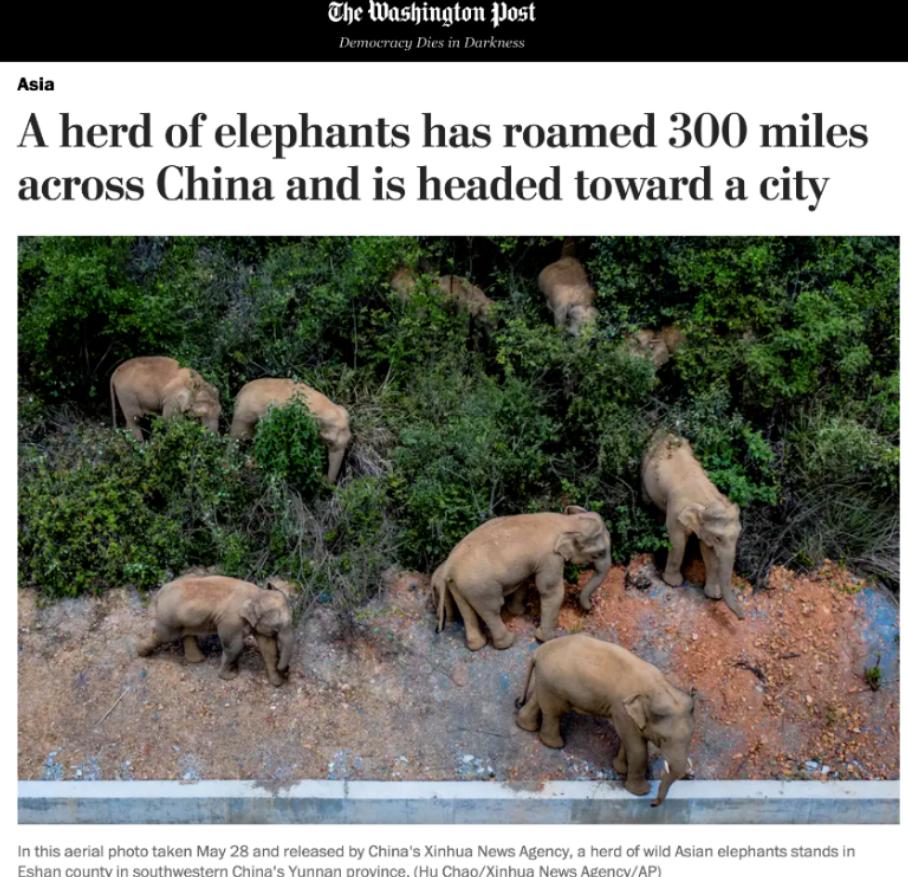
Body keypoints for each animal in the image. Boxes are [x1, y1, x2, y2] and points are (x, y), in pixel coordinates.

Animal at [136, 575, 294, 687]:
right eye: (277, 627)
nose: (286, 671)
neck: (257, 593)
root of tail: (159, 593)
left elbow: (268, 648)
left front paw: (277, 682)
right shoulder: (231, 621)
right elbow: (235, 647)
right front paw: (229, 677)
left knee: (187, 634)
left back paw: (197, 660)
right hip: (169, 617)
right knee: (162, 636)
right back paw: (140, 652)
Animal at [432, 507, 612, 650]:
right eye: (600, 553)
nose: (590, 608)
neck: (567, 521)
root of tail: (449, 565)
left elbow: (524, 581)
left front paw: (520, 612)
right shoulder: (550, 557)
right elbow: (551, 590)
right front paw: (547, 639)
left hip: (458, 586)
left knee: (467, 611)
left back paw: (477, 645)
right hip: (480, 587)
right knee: (492, 609)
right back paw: (508, 642)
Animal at [516, 634, 694, 806]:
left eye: (689, 739)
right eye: (664, 739)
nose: (653, 804)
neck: (658, 688)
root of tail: (538, 651)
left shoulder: (626, 714)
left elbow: (627, 741)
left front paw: (621, 769)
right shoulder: (621, 709)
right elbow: (637, 749)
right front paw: (641, 792)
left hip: (546, 681)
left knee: (538, 699)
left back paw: (526, 726)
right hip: (554, 684)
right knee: (554, 711)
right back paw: (555, 745)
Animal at [642, 433, 745, 619]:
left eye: (738, 535)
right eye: (718, 538)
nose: (742, 618)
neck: (706, 500)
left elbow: (708, 551)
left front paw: (713, 595)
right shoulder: (676, 510)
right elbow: (678, 541)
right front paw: (673, 583)